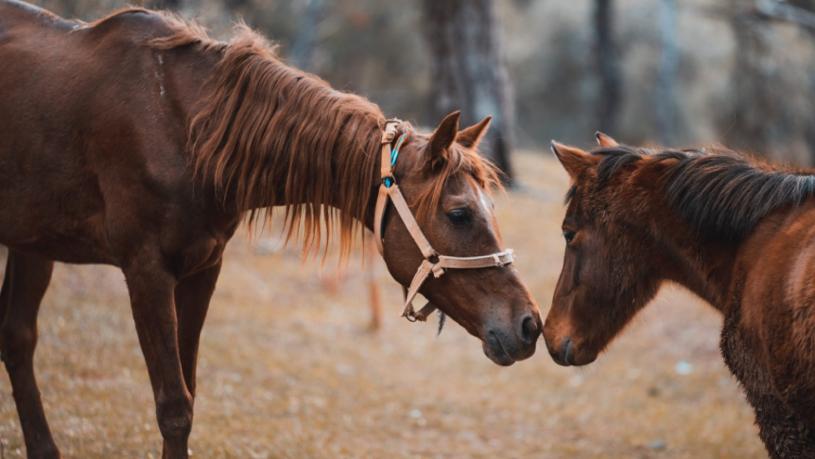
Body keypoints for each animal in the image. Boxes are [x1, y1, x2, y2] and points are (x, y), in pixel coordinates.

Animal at [1, 1, 540, 458]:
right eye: (459, 214)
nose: (529, 324)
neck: (184, 129)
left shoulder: (202, 269)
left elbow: (188, 395)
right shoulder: (147, 272)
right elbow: (173, 407)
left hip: (34, 244)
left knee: (18, 337)